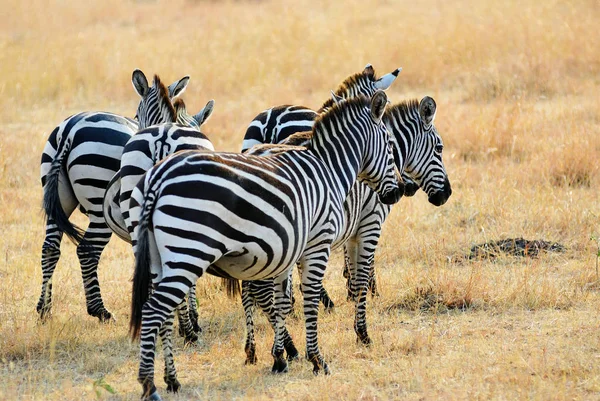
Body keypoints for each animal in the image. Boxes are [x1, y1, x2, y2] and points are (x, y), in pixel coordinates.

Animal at [38, 70, 188, 322]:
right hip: (99, 206)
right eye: (136, 115)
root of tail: (70, 129)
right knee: (87, 250)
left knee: (50, 247)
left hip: (57, 199)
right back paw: (100, 310)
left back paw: (44, 309)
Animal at [131, 92, 404, 398]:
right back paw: (149, 384)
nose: (398, 193)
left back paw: (172, 380)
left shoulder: (290, 247)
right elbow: (310, 298)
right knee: (153, 310)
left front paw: (279, 357)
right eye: (390, 146)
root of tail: (158, 177)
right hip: (187, 253)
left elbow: (283, 302)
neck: (328, 170)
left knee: (163, 313)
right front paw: (316, 359)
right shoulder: (318, 243)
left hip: (157, 257)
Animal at [238, 94, 450, 362]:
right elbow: (361, 278)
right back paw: (288, 349)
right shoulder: (370, 223)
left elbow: (353, 273)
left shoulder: (351, 231)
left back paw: (254, 350)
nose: (446, 194)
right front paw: (363, 333)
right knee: (261, 291)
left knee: (249, 290)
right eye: (439, 148)